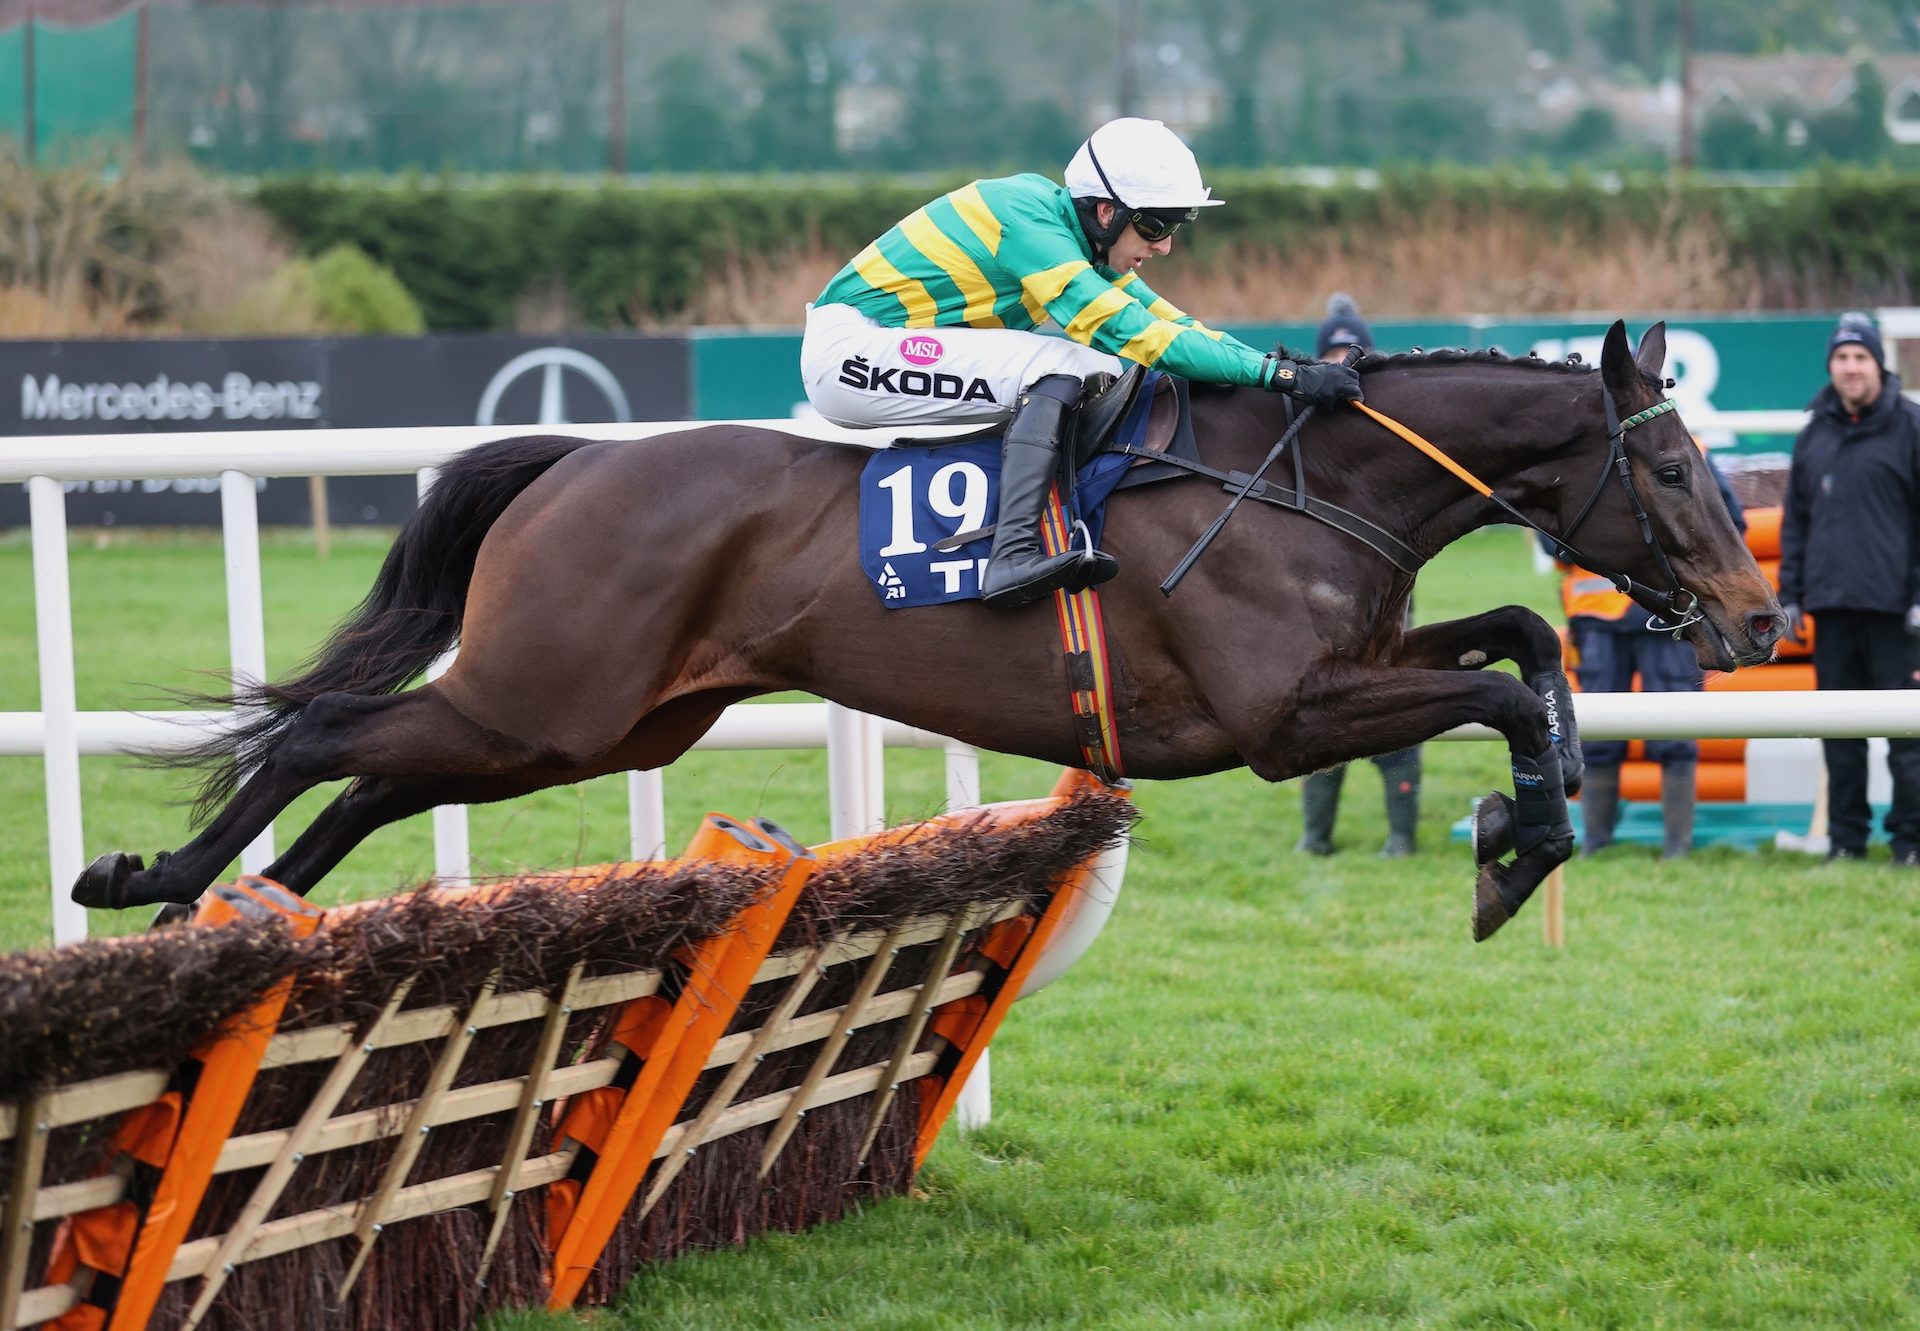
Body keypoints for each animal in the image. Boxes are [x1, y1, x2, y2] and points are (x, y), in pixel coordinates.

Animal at [74, 318, 1781, 933]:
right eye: (1674, 465)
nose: (1759, 611)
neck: (1306, 480)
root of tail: (577, 461)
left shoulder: (1351, 667)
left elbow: (1526, 644)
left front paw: (1532, 820)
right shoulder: (1279, 718)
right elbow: (1496, 686)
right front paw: (1516, 843)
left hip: (592, 719)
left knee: (375, 772)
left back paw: (246, 904)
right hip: (547, 696)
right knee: (326, 730)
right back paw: (153, 877)